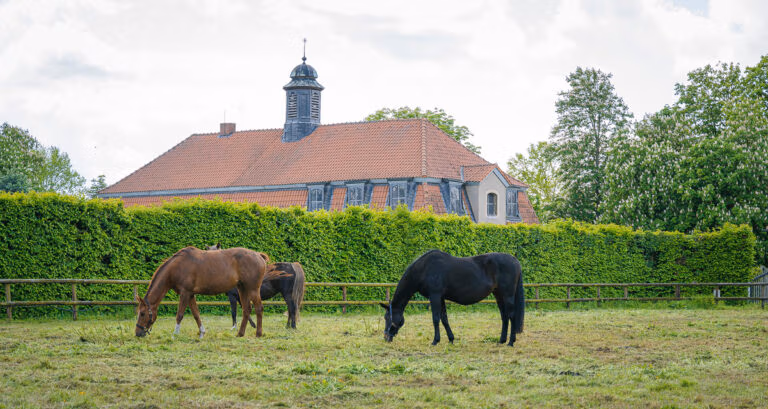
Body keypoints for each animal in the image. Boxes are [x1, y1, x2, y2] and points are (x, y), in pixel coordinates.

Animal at [135, 246, 274, 338]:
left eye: (142, 313)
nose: (137, 333)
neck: (176, 267)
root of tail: (258, 255)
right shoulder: (190, 294)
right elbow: (196, 314)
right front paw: (202, 333)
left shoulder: (185, 293)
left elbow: (180, 314)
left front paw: (175, 334)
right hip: (242, 289)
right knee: (247, 309)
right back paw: (240, 333)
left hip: (252, 289)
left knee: (258, 308)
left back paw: (258, 333)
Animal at [380, 250, 525, 346]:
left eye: (388, 317)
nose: (386, 337)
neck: (424, 269)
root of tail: (514, 260)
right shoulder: (441, 298)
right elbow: (444, 319)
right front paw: (451, 339)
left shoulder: (435, 296)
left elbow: (435, 318)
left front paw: (435, 341)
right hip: (498, 295)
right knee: (504, 317)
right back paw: (501, 340)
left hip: (508, 295)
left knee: (511, 316)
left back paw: (511, 342)